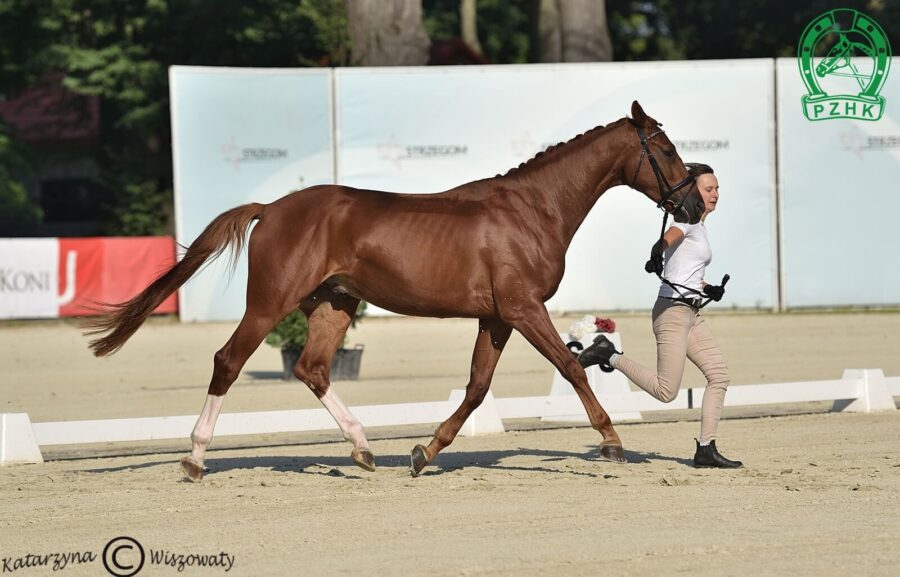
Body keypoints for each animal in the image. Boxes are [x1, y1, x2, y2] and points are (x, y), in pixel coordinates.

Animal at [86, 101, 704, 480]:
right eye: (665, 149)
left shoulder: (498, 317)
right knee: (228, 360)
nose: (695, 204)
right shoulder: (525, 309)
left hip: (335, 304)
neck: (533, 210)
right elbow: (572, 368)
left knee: (312, 368)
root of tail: (272, 208)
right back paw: (194, 458)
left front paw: (423, 452)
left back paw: (363, 450)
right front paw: (612, 443)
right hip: (269, 304)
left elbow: (477, 388)